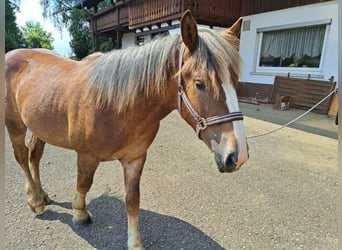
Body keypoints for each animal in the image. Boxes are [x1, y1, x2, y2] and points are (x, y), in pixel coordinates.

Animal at [5, 11, 248, 248]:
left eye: (235, 81)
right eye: (200, 84)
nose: (237, 156)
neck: (114, 103)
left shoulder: (135, 159)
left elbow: (132, 201)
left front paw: (135, 243)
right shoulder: (86, 156)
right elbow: (83, 184)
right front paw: (80, 213)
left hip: (39, 126)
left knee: (35, 155)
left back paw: (41, 194)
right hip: (15, 124)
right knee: (21, 156)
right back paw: (35, 200)